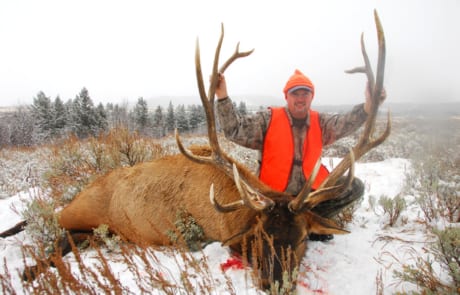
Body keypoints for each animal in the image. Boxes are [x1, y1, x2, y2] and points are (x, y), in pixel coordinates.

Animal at [0, 9, 388, 292]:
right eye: (260, 234)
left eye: (304, 237)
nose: (274, 283)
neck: (228, 214)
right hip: (82, 209)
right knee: (50, 228)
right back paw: (29, 266)